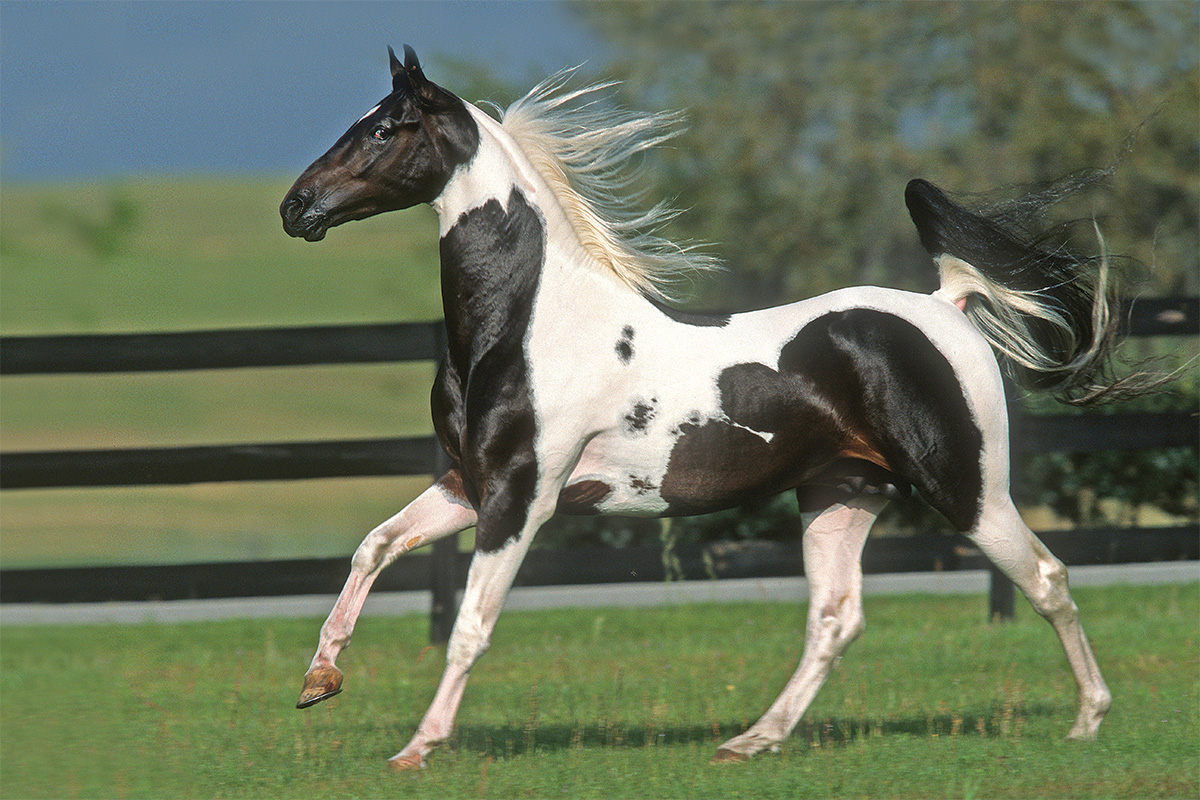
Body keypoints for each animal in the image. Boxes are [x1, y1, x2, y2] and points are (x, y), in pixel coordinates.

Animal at [280, 43, 1132, 767]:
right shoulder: (466, 485)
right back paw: (752, 742)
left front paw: (417, 747)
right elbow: (374, 547)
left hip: (967, 490)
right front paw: (320, 680)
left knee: (1047, 579)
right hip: (841, 492)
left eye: (385, 128)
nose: (296, 207)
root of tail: (946, 305)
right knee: (836, 618)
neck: (527, 325)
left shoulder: (520, 500)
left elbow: (469, 627)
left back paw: (1089, 721)